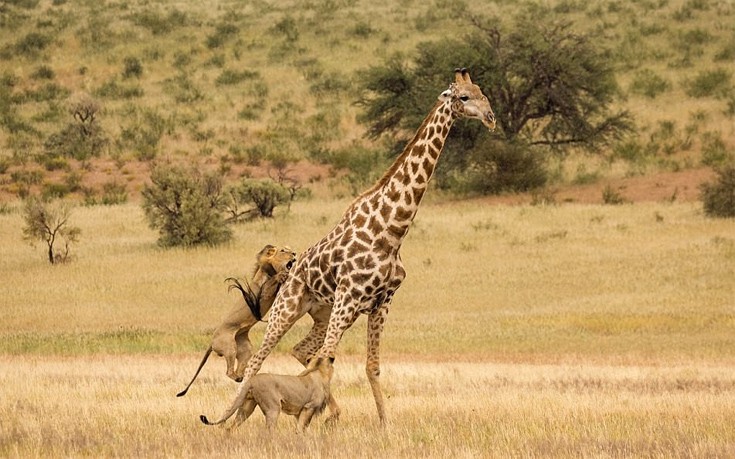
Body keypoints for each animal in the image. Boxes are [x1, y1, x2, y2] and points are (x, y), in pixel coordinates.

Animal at [177, 244, 298, 398]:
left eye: (289, 249)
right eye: (283, 250)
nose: (294, 253)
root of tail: (211, 341)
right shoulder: (264, 293)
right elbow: (272, 282)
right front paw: (282, 275)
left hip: (245, 348)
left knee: (241, 367)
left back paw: (242, 377)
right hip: (229, 347)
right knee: (228, 372)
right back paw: (237, 377)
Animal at [204, 68, 498, 428]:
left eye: (483, 92)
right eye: (463, 97)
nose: (491, 117)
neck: (392, 229)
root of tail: (288, 272)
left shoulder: (381, 302)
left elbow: (371, 366)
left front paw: (384, 424)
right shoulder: (349, 297)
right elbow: (328, 358)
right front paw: (320, 419)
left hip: (325, 311)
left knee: (304, 351)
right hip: (291, 308)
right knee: (259, 360)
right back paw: (230, 416)